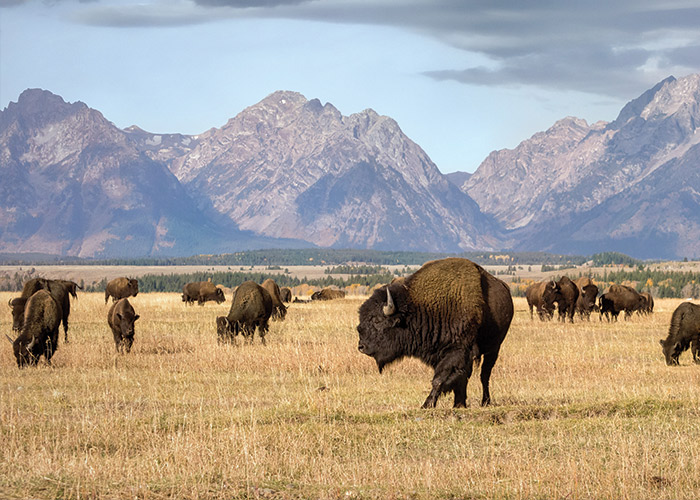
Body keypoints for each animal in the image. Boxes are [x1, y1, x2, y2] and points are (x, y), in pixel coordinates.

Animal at [356, 260, 516, 408]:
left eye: (377, 320)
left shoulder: (457, 352)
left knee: (485, 375)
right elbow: (457, 378)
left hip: (494, 349)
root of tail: (505, 288)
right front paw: (457, 404)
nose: (361, 346)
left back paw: (485, 402)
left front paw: (426, 405)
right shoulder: (440, 354)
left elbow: (439, 380)